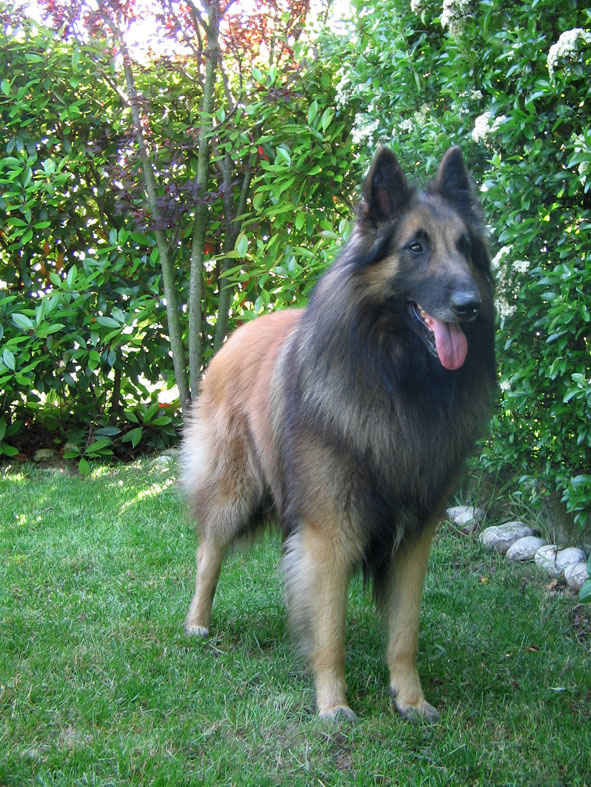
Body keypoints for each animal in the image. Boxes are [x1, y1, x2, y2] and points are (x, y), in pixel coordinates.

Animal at [183, 145, 498, 724]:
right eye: (416, 247)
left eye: (466, 248)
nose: (470, 305)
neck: (396, 383)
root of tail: (237, 331)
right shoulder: (329, 532)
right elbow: (330, 630)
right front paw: (332, 707)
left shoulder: (414, 536)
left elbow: (404, 633)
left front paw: (411, 699)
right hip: (235, 490)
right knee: (207, 554)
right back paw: (197, 623)